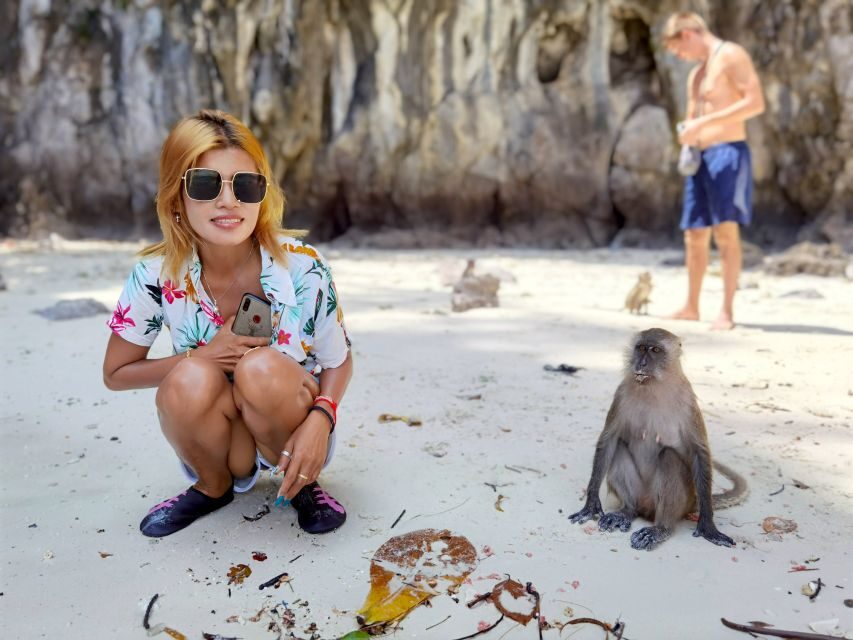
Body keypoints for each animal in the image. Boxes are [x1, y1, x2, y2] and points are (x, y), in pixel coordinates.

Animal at [568, 328, 747, 551]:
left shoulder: (688, 400)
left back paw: (661, 528)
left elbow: (699, 451)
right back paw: (627, 511)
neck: (654, 386)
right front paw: (592, 503)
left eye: (655, 350)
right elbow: (609, 439)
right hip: (641, 495)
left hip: (682, 502)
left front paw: (707, 524)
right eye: (641, 348)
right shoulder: (622, 392)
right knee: (619, 449)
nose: (641, 363)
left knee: (669, 457)